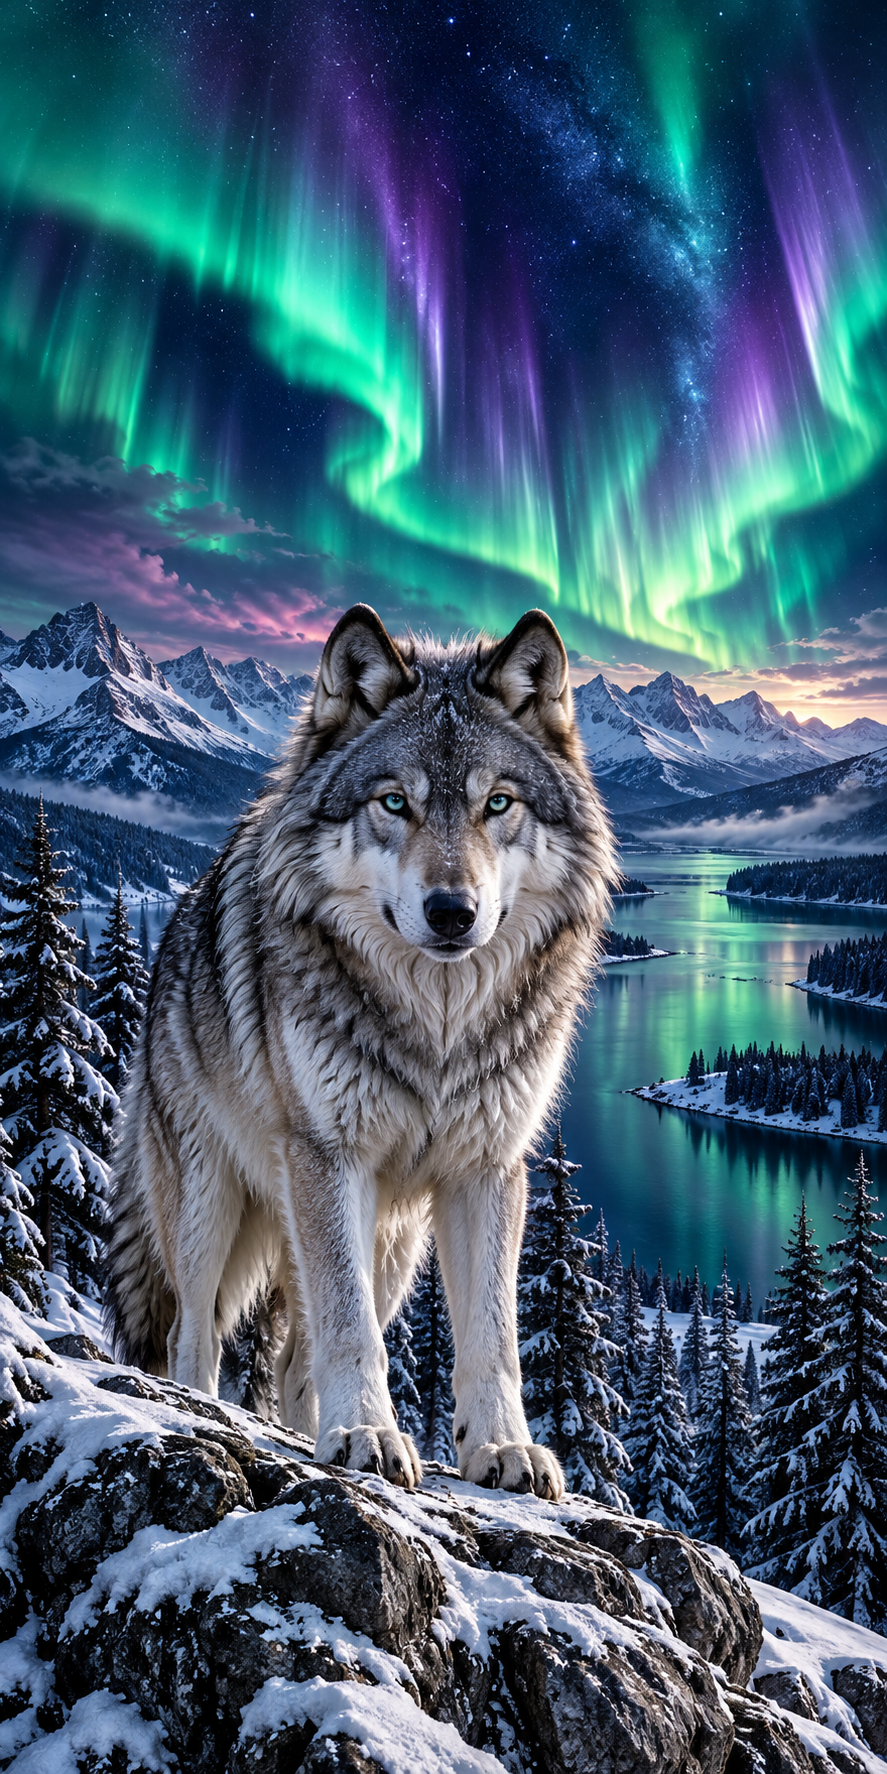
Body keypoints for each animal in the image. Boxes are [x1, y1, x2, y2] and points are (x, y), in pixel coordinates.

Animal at [106, 606, 615, 1496]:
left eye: (498, 803)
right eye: (393, 802)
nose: (451, 912)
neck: (438, 1028)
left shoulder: (487, 1169)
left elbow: (492, 1338)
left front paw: (500, 1448)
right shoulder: (326, 1155)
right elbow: (349, 1331)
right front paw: (369, 1435)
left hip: (392, 1246)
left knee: (292, 1364)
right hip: (210, 1205)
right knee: (193, 1338)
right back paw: (208, 1411)